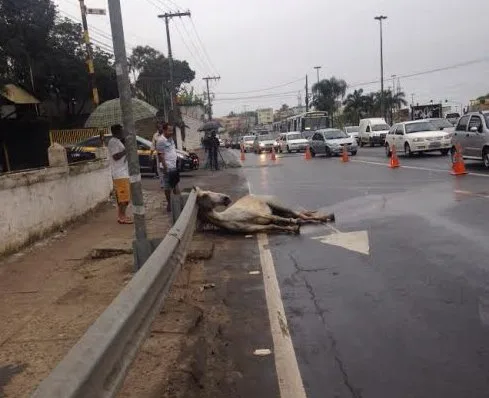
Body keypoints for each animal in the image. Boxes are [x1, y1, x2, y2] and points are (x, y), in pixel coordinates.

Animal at [194, 186, 336, 233]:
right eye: (205, 195)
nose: (226, 198)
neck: (228, 218)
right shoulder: (255, 228)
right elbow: (273, 226)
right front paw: (293, 229)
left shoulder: (263, 215)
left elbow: (278, 219)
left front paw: (294, 225)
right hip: (280, 209)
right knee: (300, 215)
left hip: (278, 206)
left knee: (298, 214)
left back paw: (327, 217)